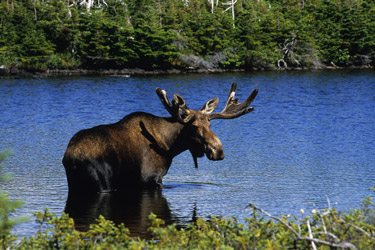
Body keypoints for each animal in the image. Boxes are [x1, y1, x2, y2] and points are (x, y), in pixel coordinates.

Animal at [63, 83, 260, 193]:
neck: (171, 146)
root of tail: (71, 157)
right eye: (194, 127)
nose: (218, 150)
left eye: (210, 126)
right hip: (102, 183)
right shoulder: (151, 179)